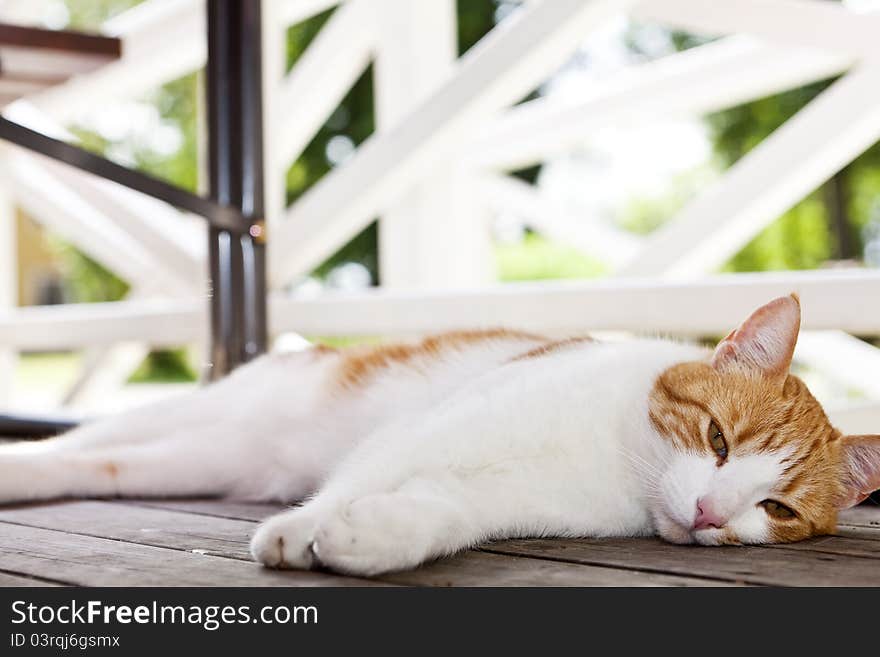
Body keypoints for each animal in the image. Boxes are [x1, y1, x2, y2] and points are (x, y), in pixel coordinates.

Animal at [0, 294, 876, 572]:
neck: (620, 458)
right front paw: (303, 530)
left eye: (776, 510)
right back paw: (21, 464)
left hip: (203, 457)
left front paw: (374, 538)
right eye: (719, 438)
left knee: (103, 465)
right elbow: (364, 474)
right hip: (200, 411)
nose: (707, 514)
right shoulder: (446, 421)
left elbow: (445, 511)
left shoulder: (499, 495)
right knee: (74, 444)